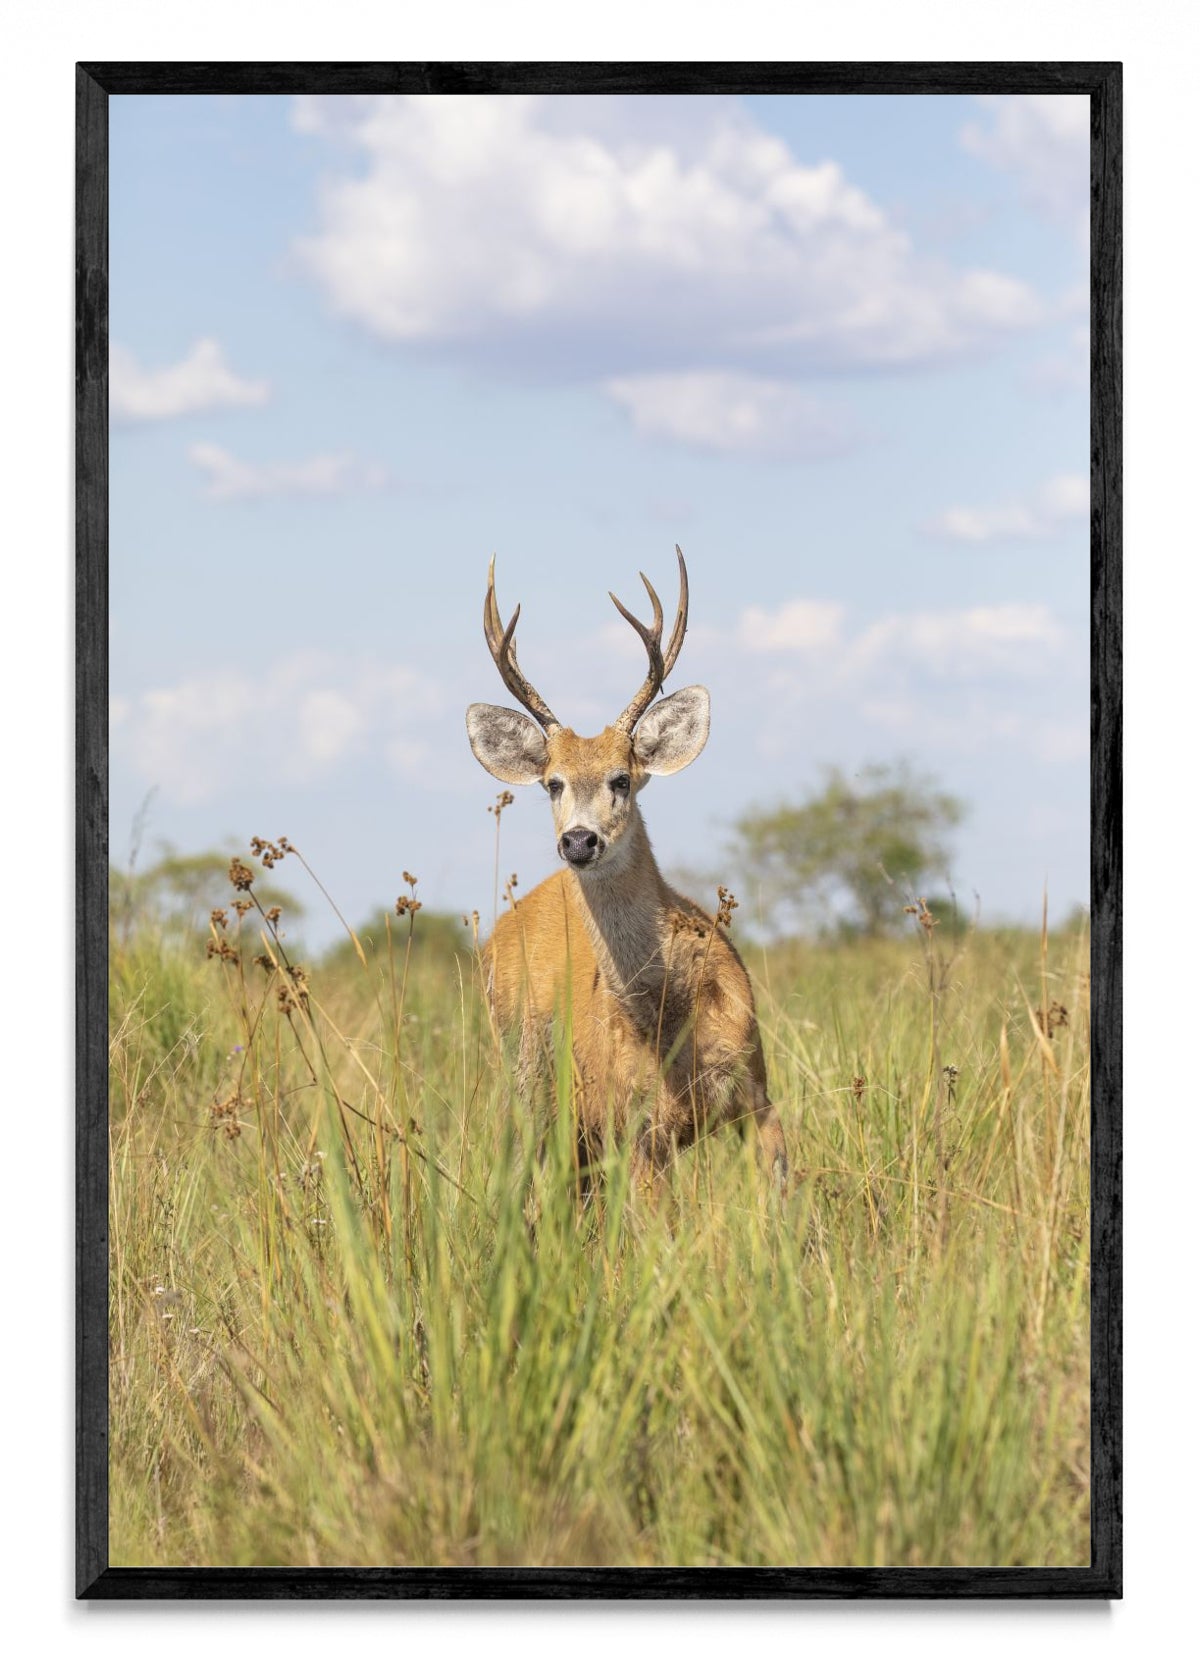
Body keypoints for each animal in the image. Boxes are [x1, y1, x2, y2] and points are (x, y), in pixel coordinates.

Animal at [466, 546, 788, 1199]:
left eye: (622, 778)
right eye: (552, 783)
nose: (579, 840)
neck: (669, 1017)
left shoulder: (757, 1091)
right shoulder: (634, 1127)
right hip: (524, 1084)